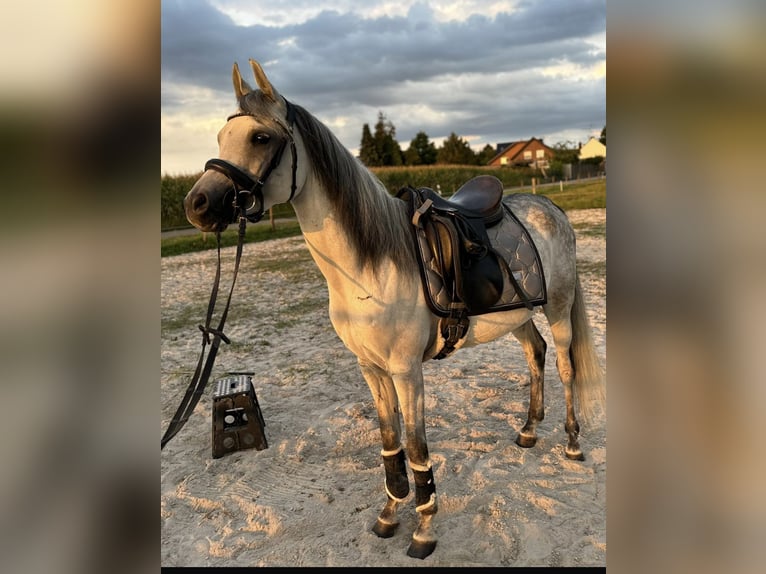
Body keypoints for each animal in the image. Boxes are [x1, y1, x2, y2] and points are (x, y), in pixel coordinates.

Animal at [183, 59, 605, 560]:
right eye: (220, 138)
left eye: (260, 138)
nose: (197, 204)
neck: (367, 268)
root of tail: (548, 205)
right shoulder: (372, 369)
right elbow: (390, 443)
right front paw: (389, 514)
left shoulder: (407, 371)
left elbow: (417, 446)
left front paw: (424, 528)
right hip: (517, 315)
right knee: (534, 354)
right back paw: (528, 430)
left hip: (558, 309)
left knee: (564, 366)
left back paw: (572, 443)